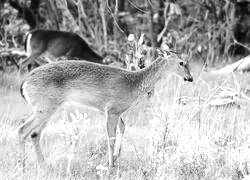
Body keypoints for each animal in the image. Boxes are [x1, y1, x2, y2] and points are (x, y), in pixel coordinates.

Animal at [18, 47, 193, 172]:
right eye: (181, 62)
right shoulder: (112, 111)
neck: (133, 83)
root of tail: (24, 82)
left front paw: (115, 158)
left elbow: (122, 128)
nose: (190, 78)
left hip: (46, 110)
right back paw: (23, 167)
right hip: (44, 109)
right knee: (22, 129)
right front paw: (110, 166)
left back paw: (43, 165)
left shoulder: (110, 112)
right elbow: (111, 138)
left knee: (34, 133)